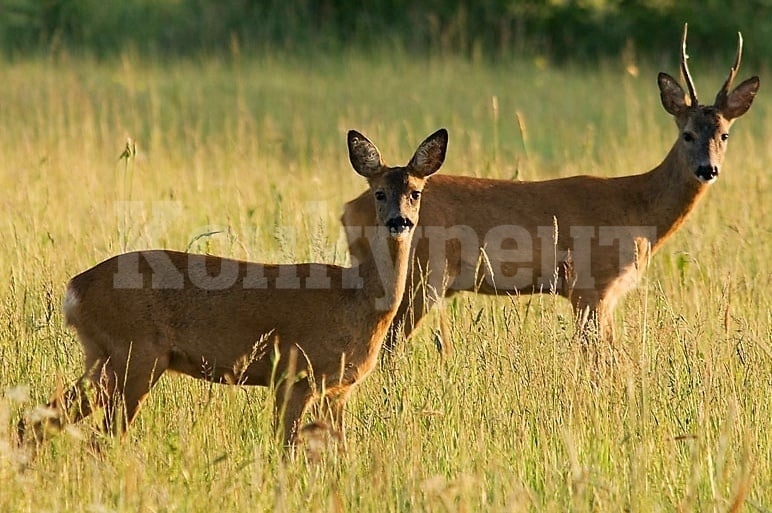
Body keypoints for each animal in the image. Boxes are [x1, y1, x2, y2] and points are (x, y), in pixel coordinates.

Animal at [19, 127, 446, 444]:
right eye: (379, 192)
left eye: (416, 192)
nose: (399, 221)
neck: (357, 299)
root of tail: (75, 289)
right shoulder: (295, 374)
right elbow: (287, 446)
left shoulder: (339, 389)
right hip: (135, 354)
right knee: (100, 437)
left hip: (102, 355)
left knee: (40, 418)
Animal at [340, 25, 756, 352]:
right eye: (687, 134)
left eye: (724, 134)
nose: (708, 168)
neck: (638, 211)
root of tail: (348, 209)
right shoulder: (590, 284)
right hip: (421, 276)